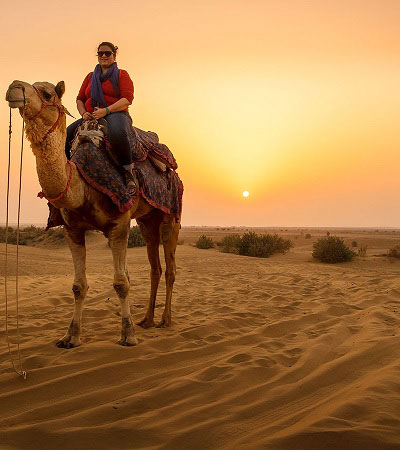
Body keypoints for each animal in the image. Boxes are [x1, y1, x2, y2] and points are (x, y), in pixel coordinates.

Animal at [5, 80, 181, 348]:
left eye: (47, 93)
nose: (14, 87)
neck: (83, 185)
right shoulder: (73, 230)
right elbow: (79, 286)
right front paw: (70, 337)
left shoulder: (119, 225)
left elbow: (121, 282)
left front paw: (128, 335)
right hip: (146, 220)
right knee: (155, 267)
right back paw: (147, 320)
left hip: (171, 214)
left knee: (170, 269)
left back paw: (165, 320)